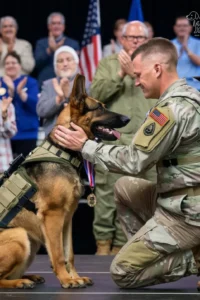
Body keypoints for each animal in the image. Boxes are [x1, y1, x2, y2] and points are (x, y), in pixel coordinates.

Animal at [0, 73, 130, 288]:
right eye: (99, 108)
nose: (127, 118)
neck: (63, 151)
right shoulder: (53, 215)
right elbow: (58, 254)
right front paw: (66, 279)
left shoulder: (68, 217)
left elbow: (69, 253)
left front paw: (74, 277)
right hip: (20, 236)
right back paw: (20, 282)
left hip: (32, 242)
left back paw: (29, 277)